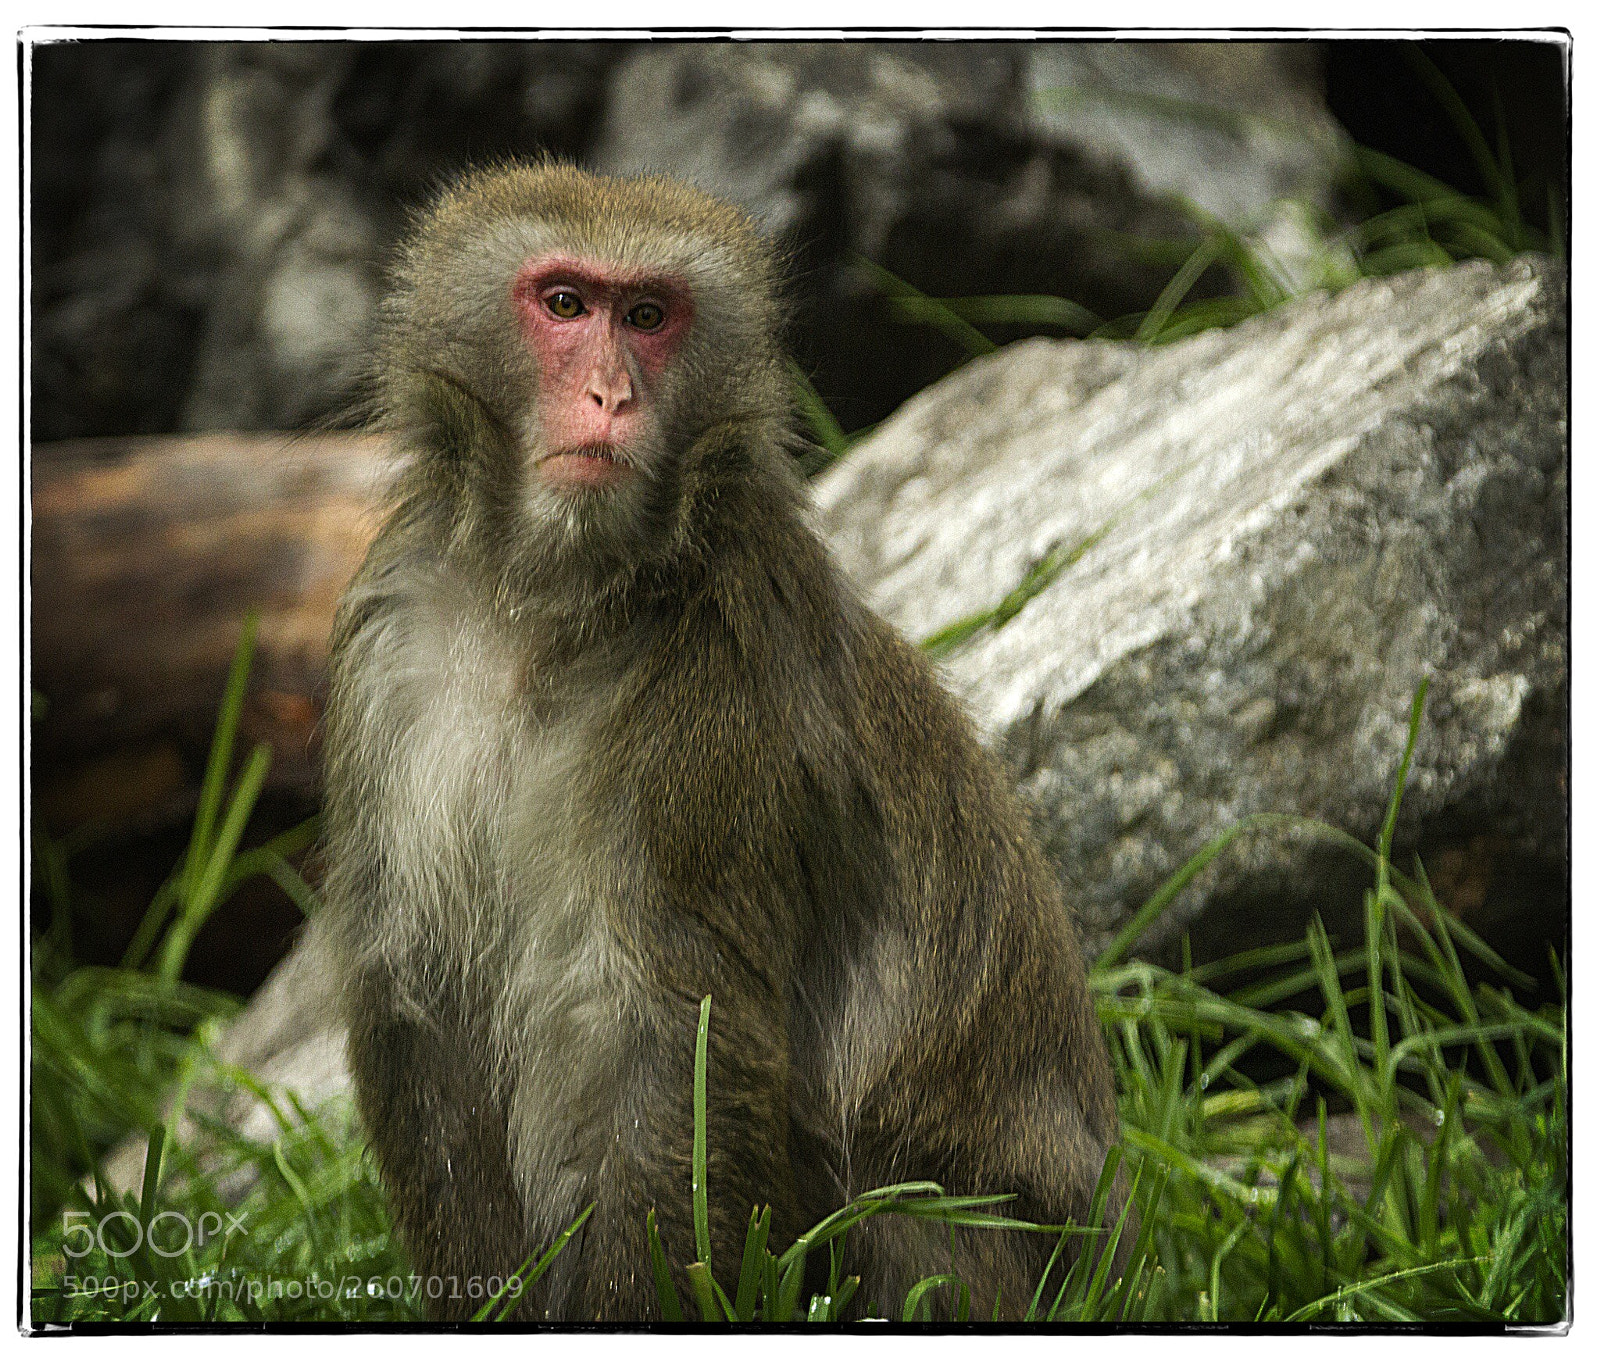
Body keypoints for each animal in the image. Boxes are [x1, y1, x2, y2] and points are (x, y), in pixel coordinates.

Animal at [320, 160, 1125, 1322]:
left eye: (650, 318)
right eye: (565, 303)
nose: (612, 397)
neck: (556, 605)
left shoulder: (719, 688)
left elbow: (669, 1039)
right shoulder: (388, 646)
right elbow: (416, 996)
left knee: (897, 1210)